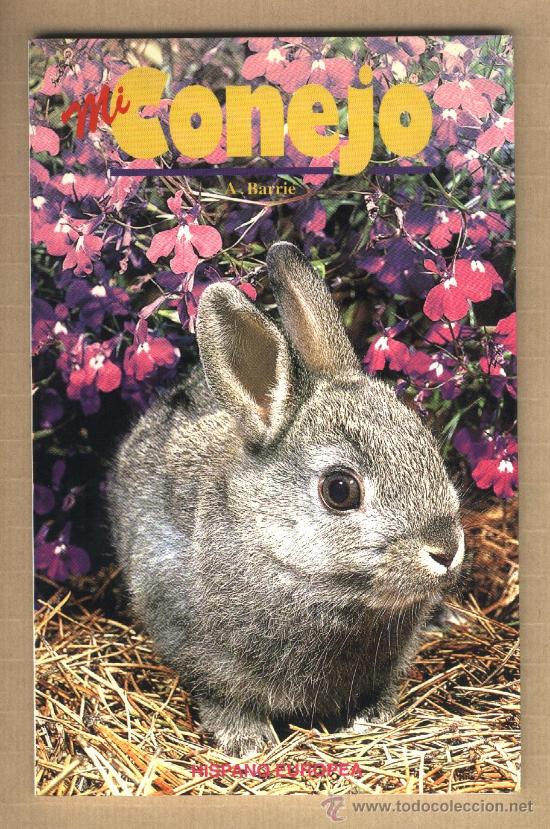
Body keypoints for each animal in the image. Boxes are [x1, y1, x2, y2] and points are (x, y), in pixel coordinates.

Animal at [108, 241, 466, 757]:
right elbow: (221, 696)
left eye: (427, 445)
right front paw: (246, 741)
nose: (446, 549)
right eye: (340, 490)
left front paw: (370, 718)